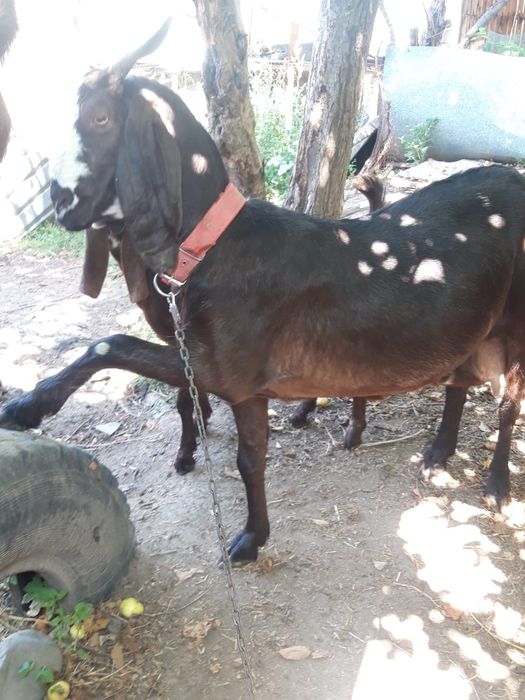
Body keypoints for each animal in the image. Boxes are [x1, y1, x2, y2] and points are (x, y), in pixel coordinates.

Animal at [2, 23, 525, 565]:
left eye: (101, 117)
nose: (58, 203)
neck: (216, 246)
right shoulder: (232, 378)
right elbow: (246, 455)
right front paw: (251, 530)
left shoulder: (230, 369)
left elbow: (112, 345)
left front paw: (28, 406)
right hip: (473, 326)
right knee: (459, 381)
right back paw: (439, 453)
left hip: (517, 324)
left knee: (509, 405)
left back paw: (496, 485)